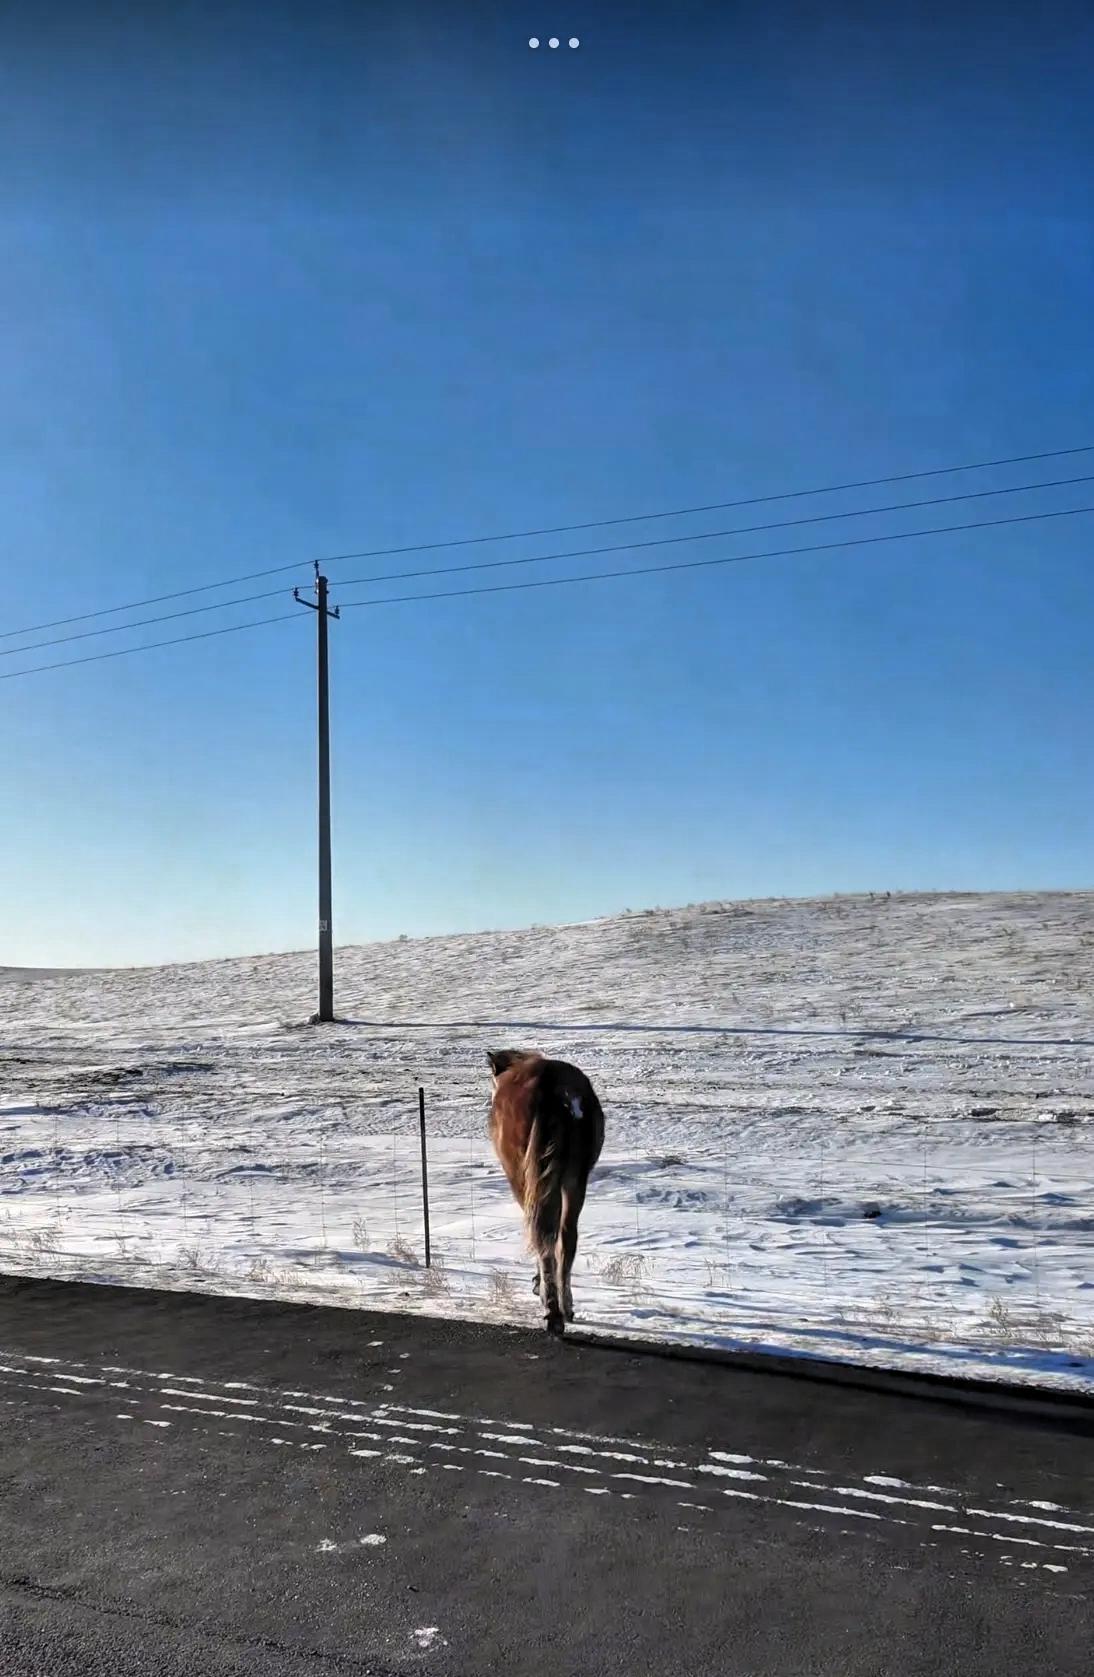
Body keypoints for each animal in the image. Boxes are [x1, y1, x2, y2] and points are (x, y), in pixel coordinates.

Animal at [487, 1048, 605, 1335]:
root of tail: (559, 1090)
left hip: (534, 1176)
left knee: (545, 1234)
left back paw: (552, 1310)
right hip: (575, 1179)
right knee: (567, 1235)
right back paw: (566, 1306)